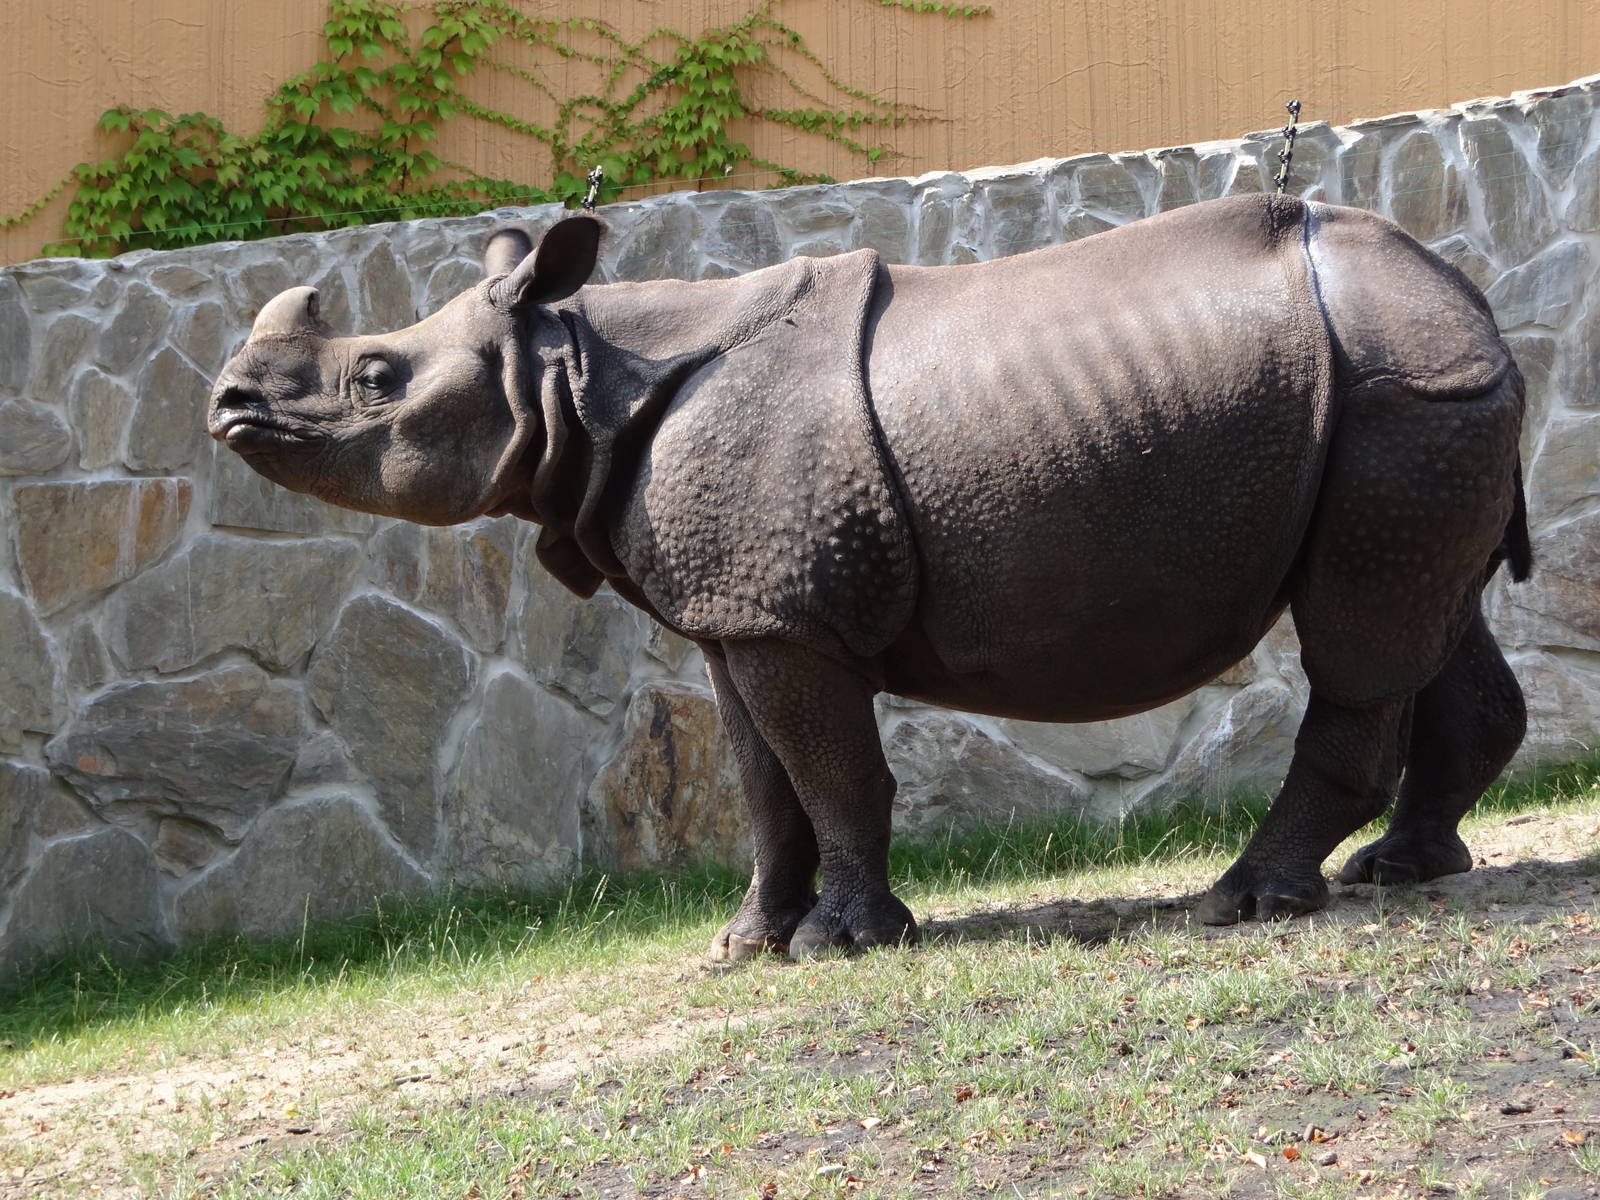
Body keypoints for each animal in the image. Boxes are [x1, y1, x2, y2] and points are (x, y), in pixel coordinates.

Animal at [208, 193, 1529, 960]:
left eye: (376, 379)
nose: (225, 405)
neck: (574, 367)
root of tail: (1469, 296)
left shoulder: (783, 613)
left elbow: (830, 769)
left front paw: (842, 943)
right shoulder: (742, 610)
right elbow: (761, 781)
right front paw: (746, 944)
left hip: (1395, 394)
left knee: (1358, 637)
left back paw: (1244, 903)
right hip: (1414, 401)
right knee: (1428, 614)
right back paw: (1401, 871)